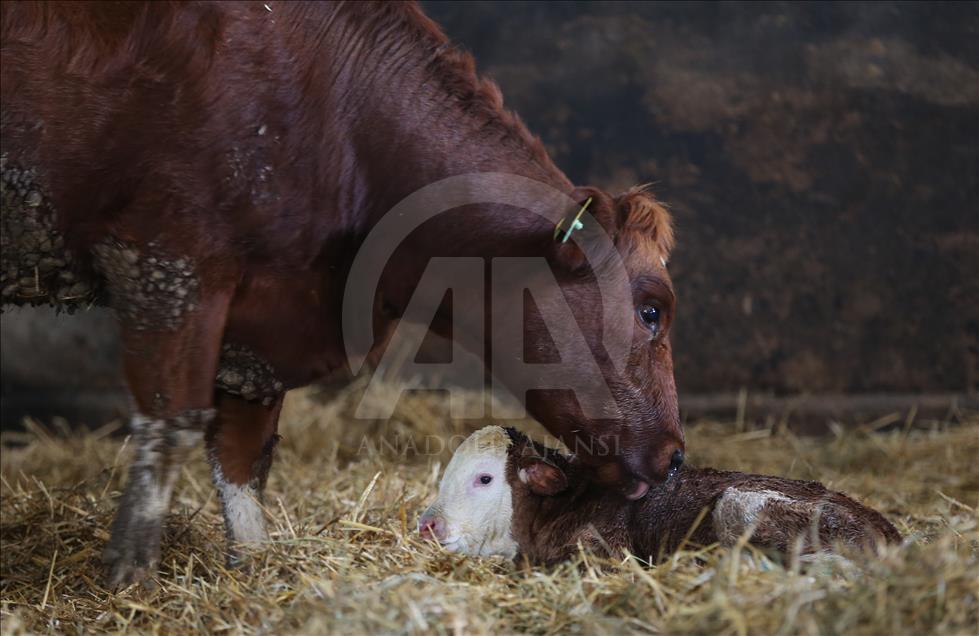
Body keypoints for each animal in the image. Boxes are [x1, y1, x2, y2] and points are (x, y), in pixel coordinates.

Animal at [1, 1, 683, 586]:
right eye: (651, 310)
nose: (677, 456)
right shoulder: (166, 260)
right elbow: (169, 425)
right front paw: (132, 578)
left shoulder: (256, 326)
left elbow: (243, 452)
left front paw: (254, 567)